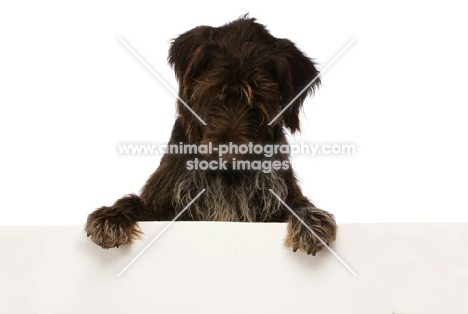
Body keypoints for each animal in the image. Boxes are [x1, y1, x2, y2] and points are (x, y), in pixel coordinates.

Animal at [85, 15, 336, 255]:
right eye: (215, 91)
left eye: (261, 99)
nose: (228, 155)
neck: (228, 176)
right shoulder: (163, 206)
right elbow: (135, 203)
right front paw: (110, 217)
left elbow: (298, 204)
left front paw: (312, 221)